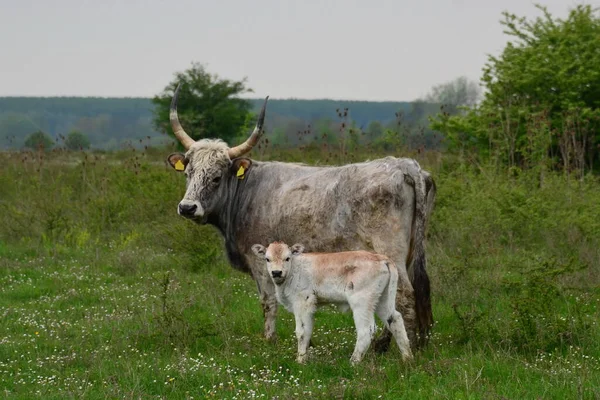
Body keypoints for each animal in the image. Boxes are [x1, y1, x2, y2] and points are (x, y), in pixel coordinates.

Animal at [164, 83, 436, 350]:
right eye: (188, 173)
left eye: (216, 177)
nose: (187, 207)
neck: (246, 191)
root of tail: (406, 165)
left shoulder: (261, 264)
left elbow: (268, 302)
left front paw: (269, 341)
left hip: (390, 252)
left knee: (405, 295)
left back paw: (408, 347)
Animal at [251, 241, 414, 366]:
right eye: (267, 259)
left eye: (287, 258)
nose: (276, 273)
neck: (293, 270)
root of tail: (381, 258)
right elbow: (308, 330)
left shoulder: (303, 301)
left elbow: (301, 331)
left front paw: (300, 361)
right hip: (382, 300)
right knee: (395, 320)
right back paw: (407, 358)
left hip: (361, 302)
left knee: (366, 329)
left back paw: (353, 362)